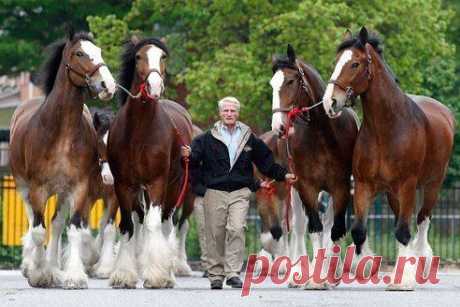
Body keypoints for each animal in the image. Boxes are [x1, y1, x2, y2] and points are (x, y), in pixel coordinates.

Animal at [9, 30, 117, 290]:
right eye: (79, 53)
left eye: (99, 51)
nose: (107, 85)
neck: (61, 134)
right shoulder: (38, 188)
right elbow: (39, 231)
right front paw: (39, 274)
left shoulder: (79, 188)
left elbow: (74, 229)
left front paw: (73, 276)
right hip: (24, 188)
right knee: (33, 222)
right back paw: (33, 265)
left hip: (62, 192)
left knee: (57, 225)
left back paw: (54, 267)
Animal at [107, 37, 192, 290]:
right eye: (138, 57)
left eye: (163, 57)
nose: (155, 86)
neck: (139, 131)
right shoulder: (123, 185)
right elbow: (127, 226)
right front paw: (124, 275)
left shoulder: (157, 183)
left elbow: (154, 225)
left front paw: (156, 276)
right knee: (139, 222)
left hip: (174, 188)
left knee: (165, 224)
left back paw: (168, 274)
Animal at [270, 45, 360, 288]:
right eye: (272, 84)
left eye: (291, 81)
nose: (278, 126)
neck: (323, 135)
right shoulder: (306, 187)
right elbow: (314, 228)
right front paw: (315, 278)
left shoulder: (340, 187)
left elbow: (334, 229)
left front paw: (330, 274)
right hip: (293, 188)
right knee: (299, 225)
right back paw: (297, 273)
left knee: (328, 224)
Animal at [324, 27, 456, 292]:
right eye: (337, 62)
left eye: (355, 63)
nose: (330, 102)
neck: (387, 128)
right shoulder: (364, 185)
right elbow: (359, 230)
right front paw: (363, 265)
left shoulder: (407, 185)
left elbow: (404, 231)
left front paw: (402, 281)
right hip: (394, 194)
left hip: (432, 185)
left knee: (422, 221)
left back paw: (420, 264)